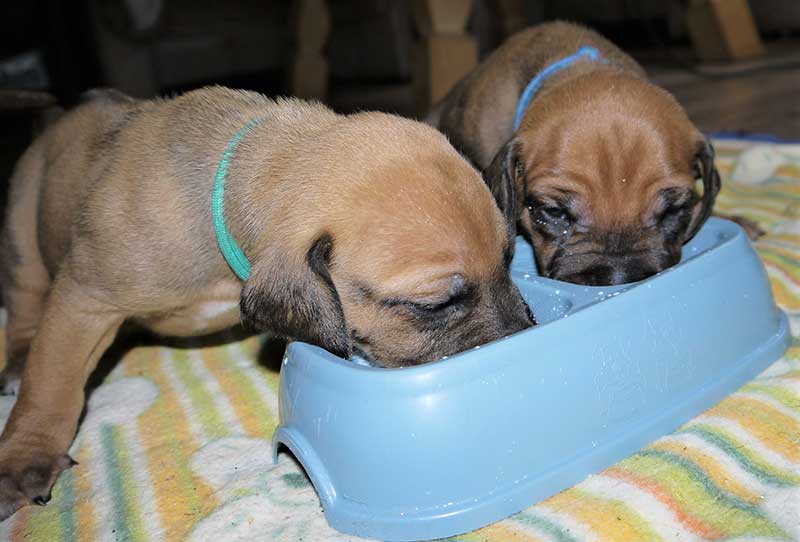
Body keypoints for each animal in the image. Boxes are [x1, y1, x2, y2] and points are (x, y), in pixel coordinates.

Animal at [0, 87, 536, 520]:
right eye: (435, 305)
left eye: (510, 259)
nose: (526, 334)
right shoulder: (84, 297)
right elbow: (54, 382)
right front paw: (25, 456)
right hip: (22, 228)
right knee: (26, 306)